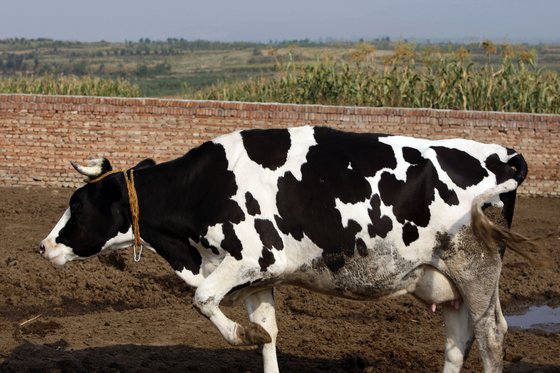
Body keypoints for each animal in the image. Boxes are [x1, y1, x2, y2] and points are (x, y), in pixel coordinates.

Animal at [40, 125, 532, 372]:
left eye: (77, 206)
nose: (43, 246)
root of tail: (502, 152)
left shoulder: (248, 258)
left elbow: (203, 299)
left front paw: (243, 334)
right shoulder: (259, 278)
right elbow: (269, 335)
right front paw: (257, 335)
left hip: (476, 269)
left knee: (491, 335)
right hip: (445, 280)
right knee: (457, 342)